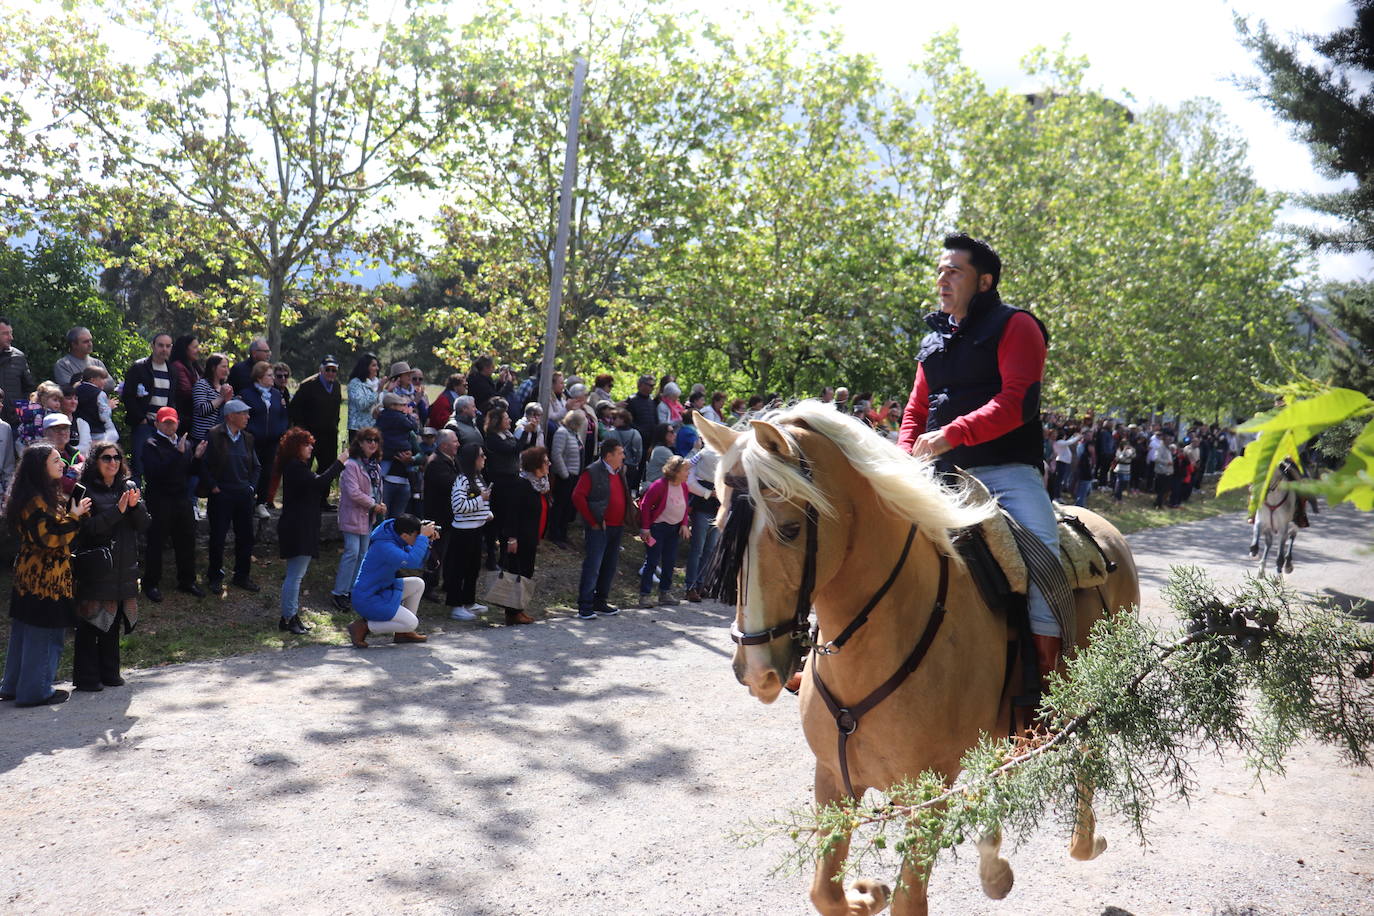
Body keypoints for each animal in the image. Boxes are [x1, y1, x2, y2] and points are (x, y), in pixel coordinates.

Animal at [697, 403, 1137, 916]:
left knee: (1086, 759)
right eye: (720, 527)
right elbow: (825, 891)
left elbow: (908, 900)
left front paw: (875, 892)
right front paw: (867, 894)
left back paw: (1083, 842)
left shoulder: (930, 791)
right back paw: (994, 866)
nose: (757, 670)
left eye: (789, 530)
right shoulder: (832, 778)